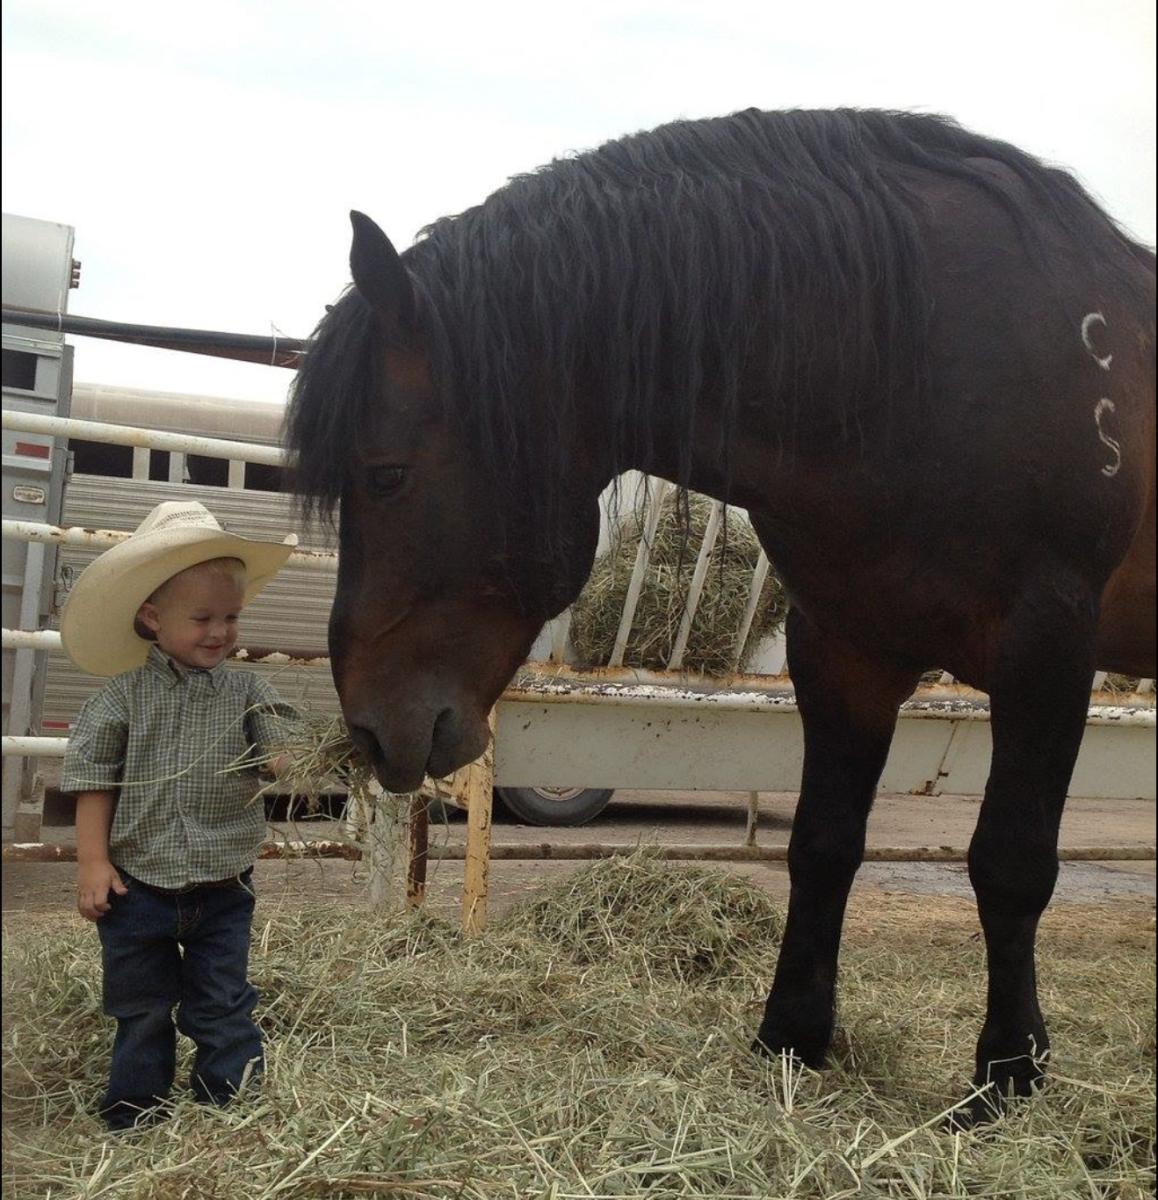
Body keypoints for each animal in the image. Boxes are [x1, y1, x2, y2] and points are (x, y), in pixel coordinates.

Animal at [285, 108, 1156, 1125]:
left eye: (386, 473)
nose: (371, 729)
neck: (918, 359)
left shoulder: (1047, 648)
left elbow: (1010, 866)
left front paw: (1007, 1076)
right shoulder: (845, 650)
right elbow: (822, 846)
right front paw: (792, 1038)